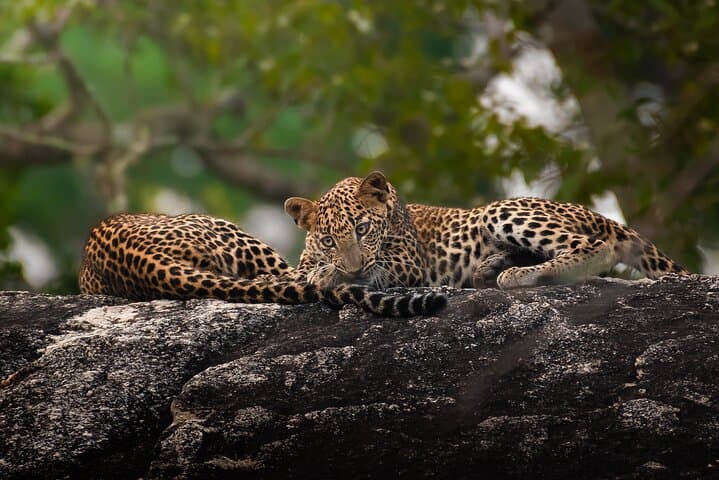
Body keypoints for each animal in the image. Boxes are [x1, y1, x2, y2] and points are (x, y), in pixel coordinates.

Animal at [284, 171, 689, 292]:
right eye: (327, 239)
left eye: (363, 228)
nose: (351, 267)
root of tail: (586, 210)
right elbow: (303, 270)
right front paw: (326, 270)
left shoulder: (408, 264)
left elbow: (374, 268)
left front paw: (331, 275)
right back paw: (490, 268)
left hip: (500, 211)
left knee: (595, 247)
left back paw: (519, 275)